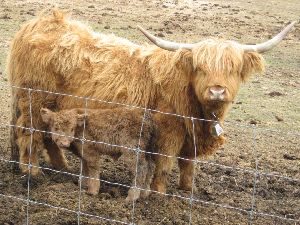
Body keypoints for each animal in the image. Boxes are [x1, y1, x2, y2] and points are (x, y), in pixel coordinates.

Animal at [8, 9, 296, 193]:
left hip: (54, 108)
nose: (217, 91)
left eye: (232, 69)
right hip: (33, 100)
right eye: (200, 68)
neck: (200, 113)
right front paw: (158, 193)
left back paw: (63, 168)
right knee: (29, 134)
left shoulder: (190, 136)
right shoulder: (168, 131)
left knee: (47, 135)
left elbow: (188, 164)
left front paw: (188, 189)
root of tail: (38, 24)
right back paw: (32, 172)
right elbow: (165, 164)